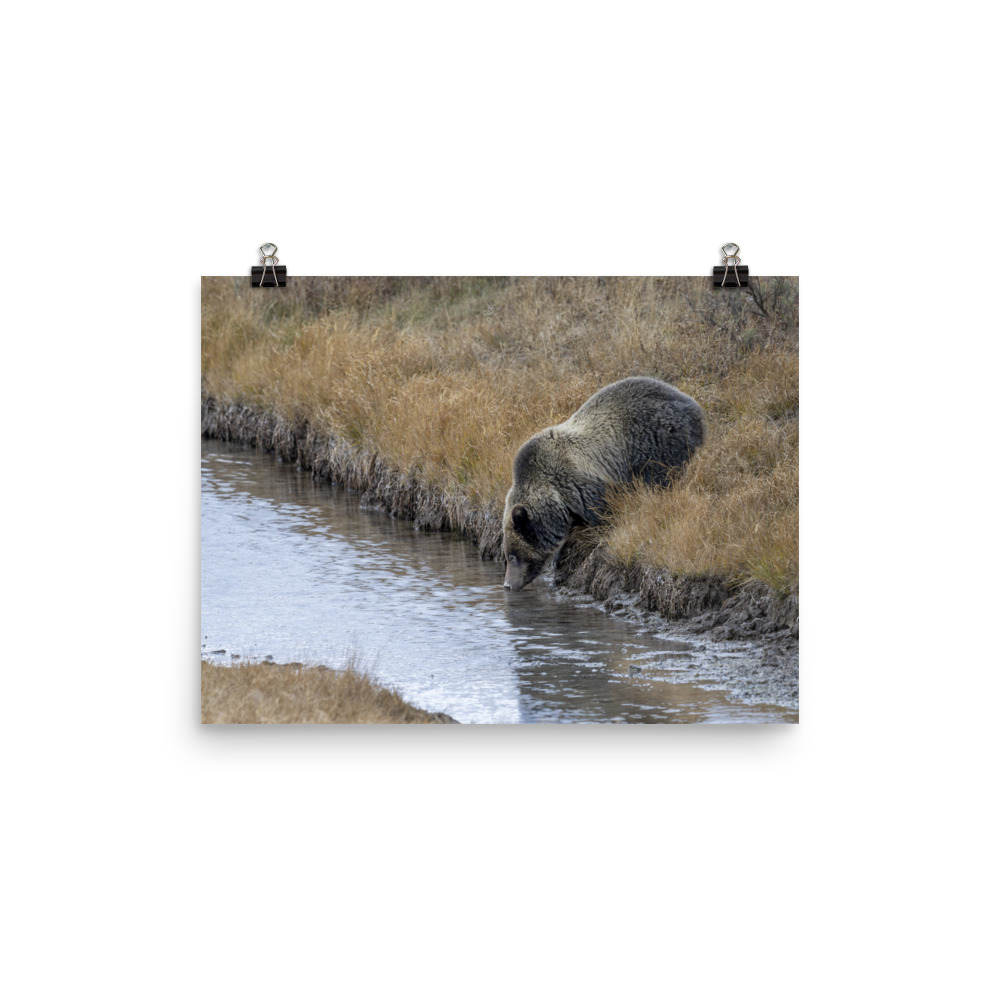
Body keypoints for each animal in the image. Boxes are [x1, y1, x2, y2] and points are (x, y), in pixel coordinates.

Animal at [502, 376, 704, 591]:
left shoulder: (584, 486)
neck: (556, 495)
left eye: (512, 556)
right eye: (507, 555)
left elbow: (603, 515)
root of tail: (691, 403)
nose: (507, 584)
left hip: (657, 440)